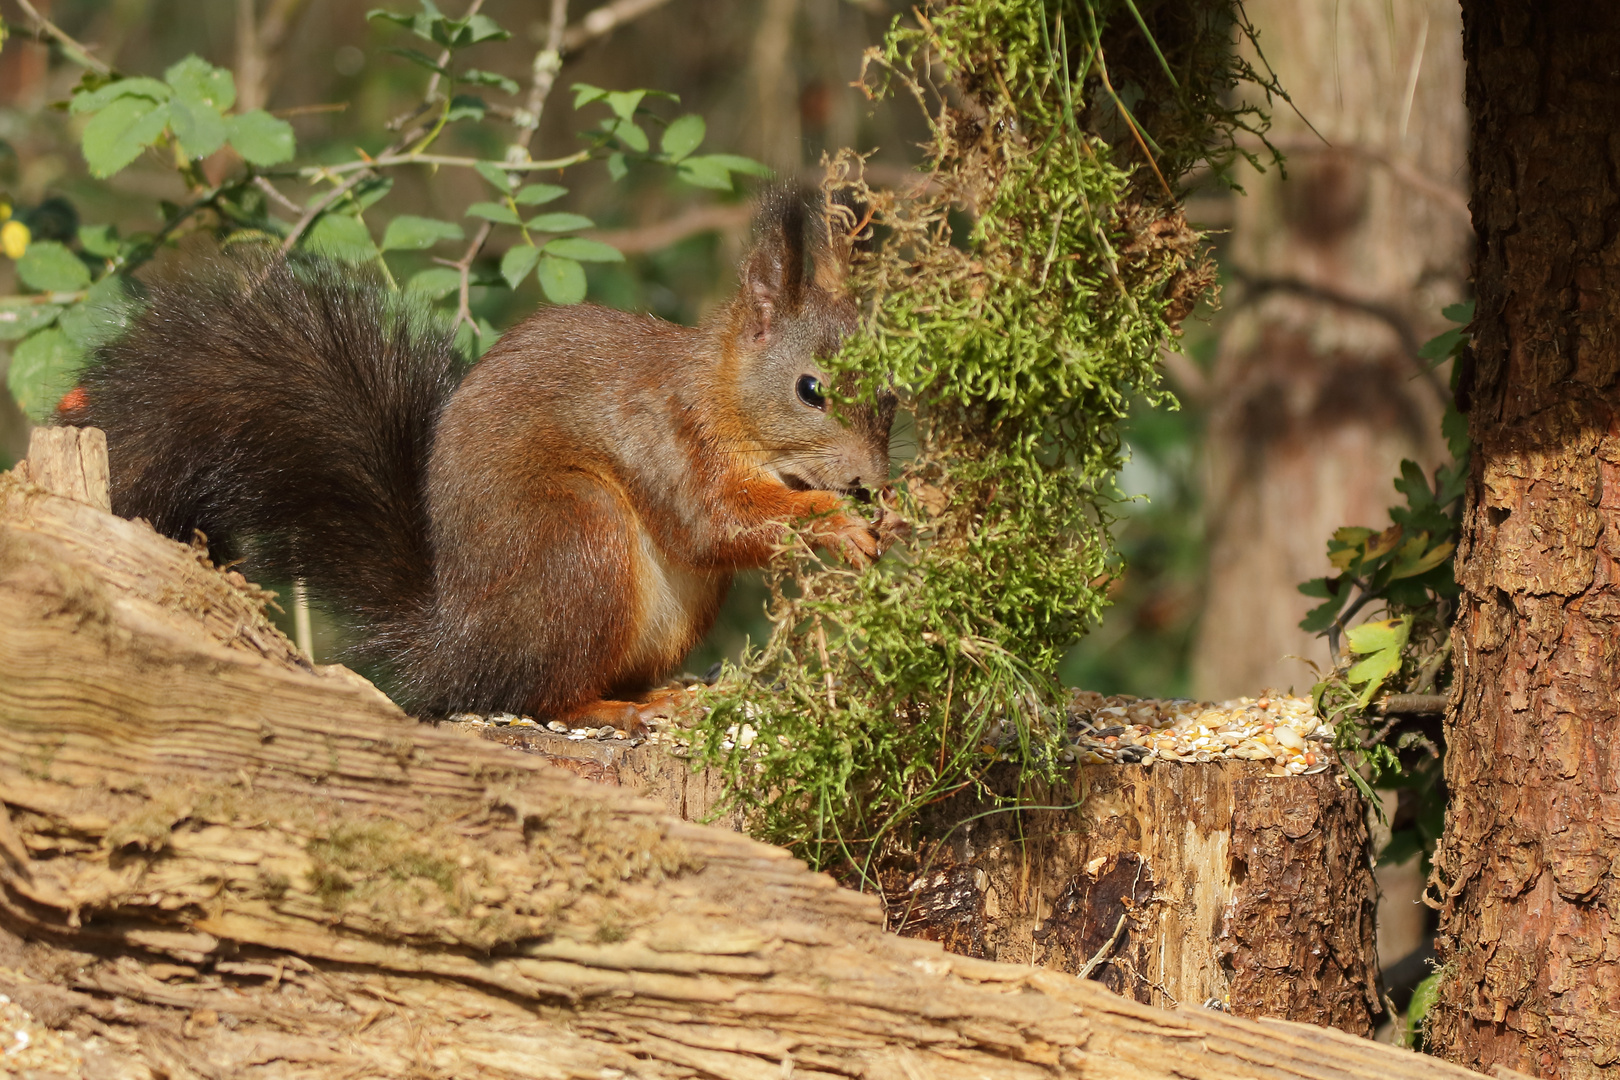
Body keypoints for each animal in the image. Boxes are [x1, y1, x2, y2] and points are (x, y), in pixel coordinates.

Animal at [66, 191, 900, 725]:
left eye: (893, 394)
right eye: (812, 390)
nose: (871, 481)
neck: (723, 396)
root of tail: (456, 646)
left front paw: (887, 518)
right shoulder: (671, 437)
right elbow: (715, 522)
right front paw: (833, 522)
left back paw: (665, 694)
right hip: (577, 540)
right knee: (535, 696)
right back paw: (612, 710)